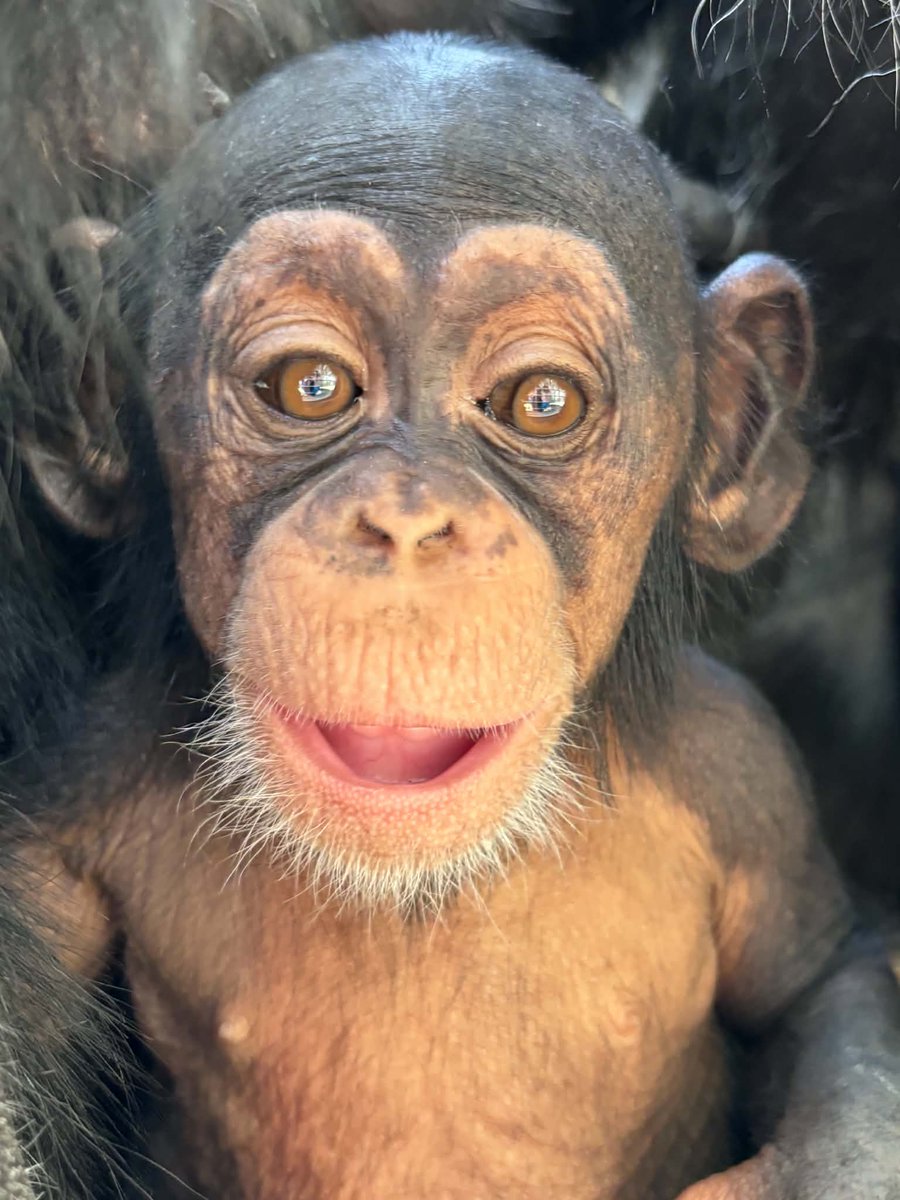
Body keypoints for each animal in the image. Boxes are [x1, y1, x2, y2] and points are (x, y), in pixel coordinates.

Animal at [2, 31, 898, 1200]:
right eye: (308, 384)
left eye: (542, 403)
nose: (409, 523)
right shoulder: (81, 777)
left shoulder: (740, 768)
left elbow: (819, 980)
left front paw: (831, 1168)